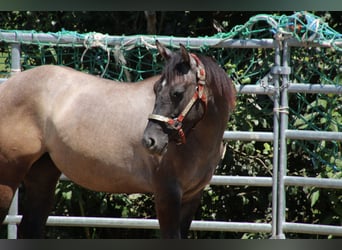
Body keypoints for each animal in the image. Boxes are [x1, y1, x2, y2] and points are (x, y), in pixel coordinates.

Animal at [0, 41, 235, 238]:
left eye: (177, 92)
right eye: (156, 89)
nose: (150, 140)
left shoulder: (191, 197)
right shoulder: (167, 195)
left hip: (43, 174)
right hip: (8, 176)